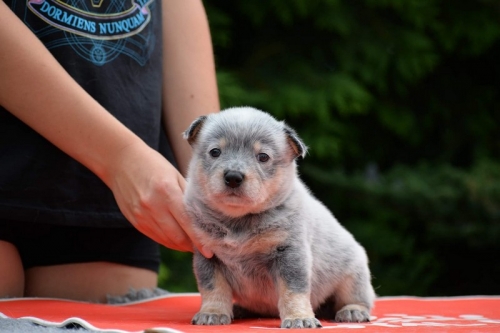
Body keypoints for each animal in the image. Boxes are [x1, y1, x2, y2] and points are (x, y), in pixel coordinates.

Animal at [184, 106, 376, 326]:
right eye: (215, 152)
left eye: (263, 157)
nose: (233, 176)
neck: (238, 223)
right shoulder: (207, 255)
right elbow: (213, 288)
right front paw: (212, 312)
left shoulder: (290, 254)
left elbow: (293, 291)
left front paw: (299, 318)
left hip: (353, 275)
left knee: (357, 298)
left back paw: (353, 311)